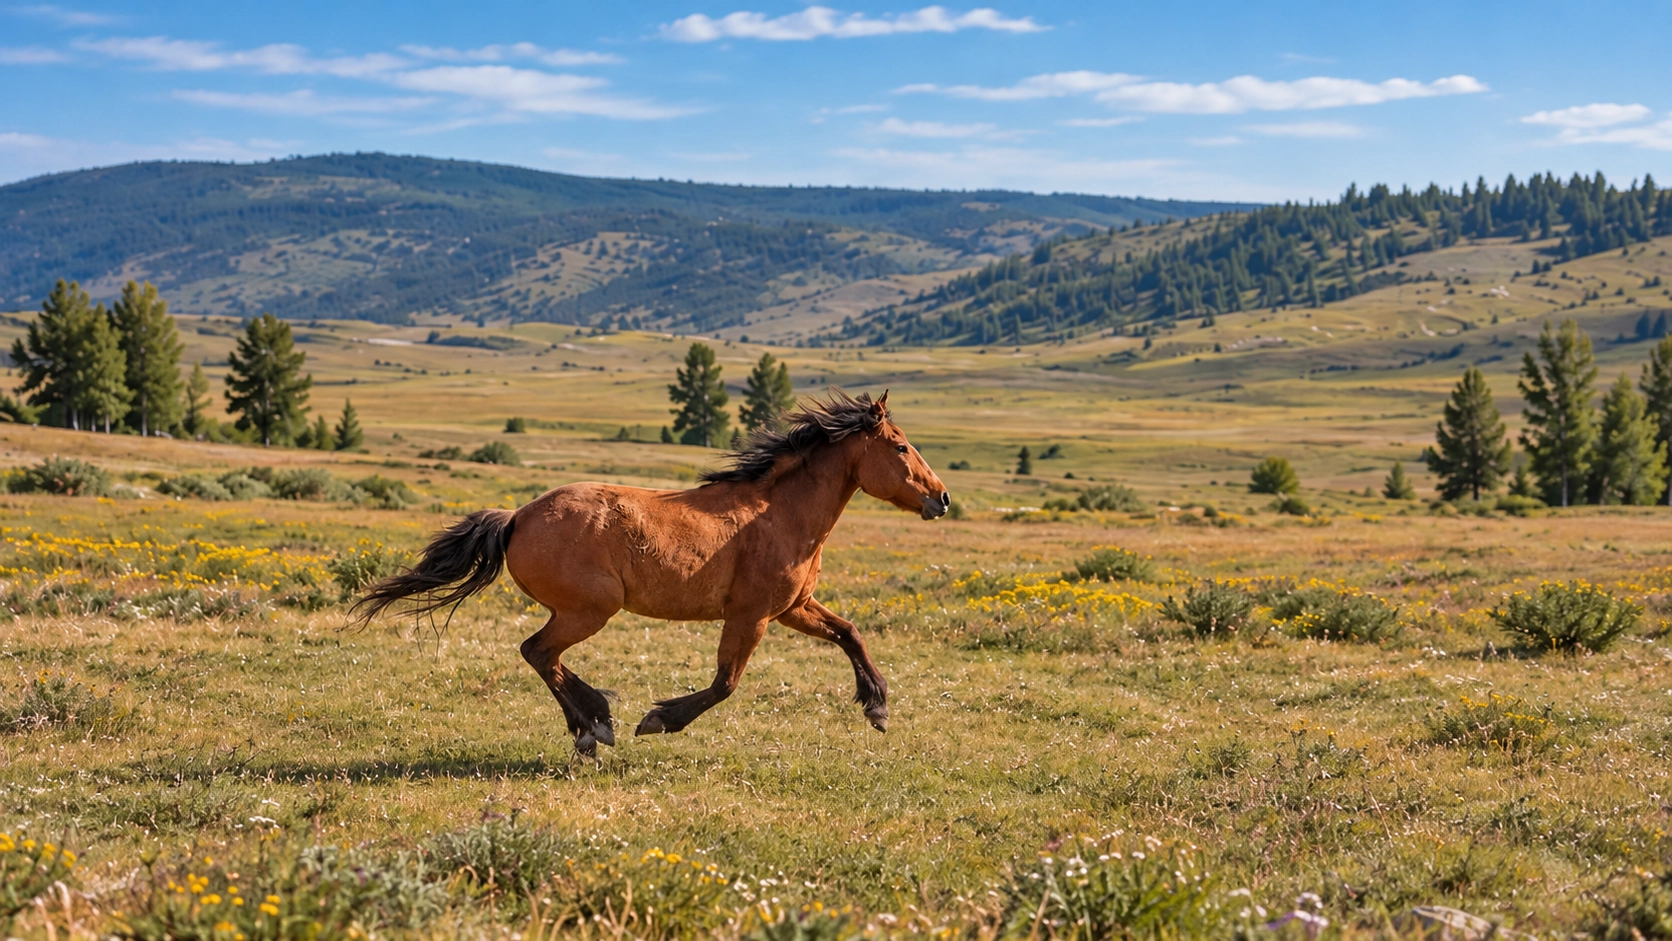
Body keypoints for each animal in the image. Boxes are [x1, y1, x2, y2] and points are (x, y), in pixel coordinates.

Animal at [352, 390, 950, 755]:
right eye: (901, 447)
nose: (942, 498)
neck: (779, 513)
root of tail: (518, 516)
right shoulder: (752, 615)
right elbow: (725, 683)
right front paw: (659, 719)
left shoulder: (792, 608)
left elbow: (850, 633)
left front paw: (877, 707)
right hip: (590, 609)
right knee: (538, 652)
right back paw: (594, 727)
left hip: (583, 611)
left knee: (543, 657)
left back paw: (591, 723)